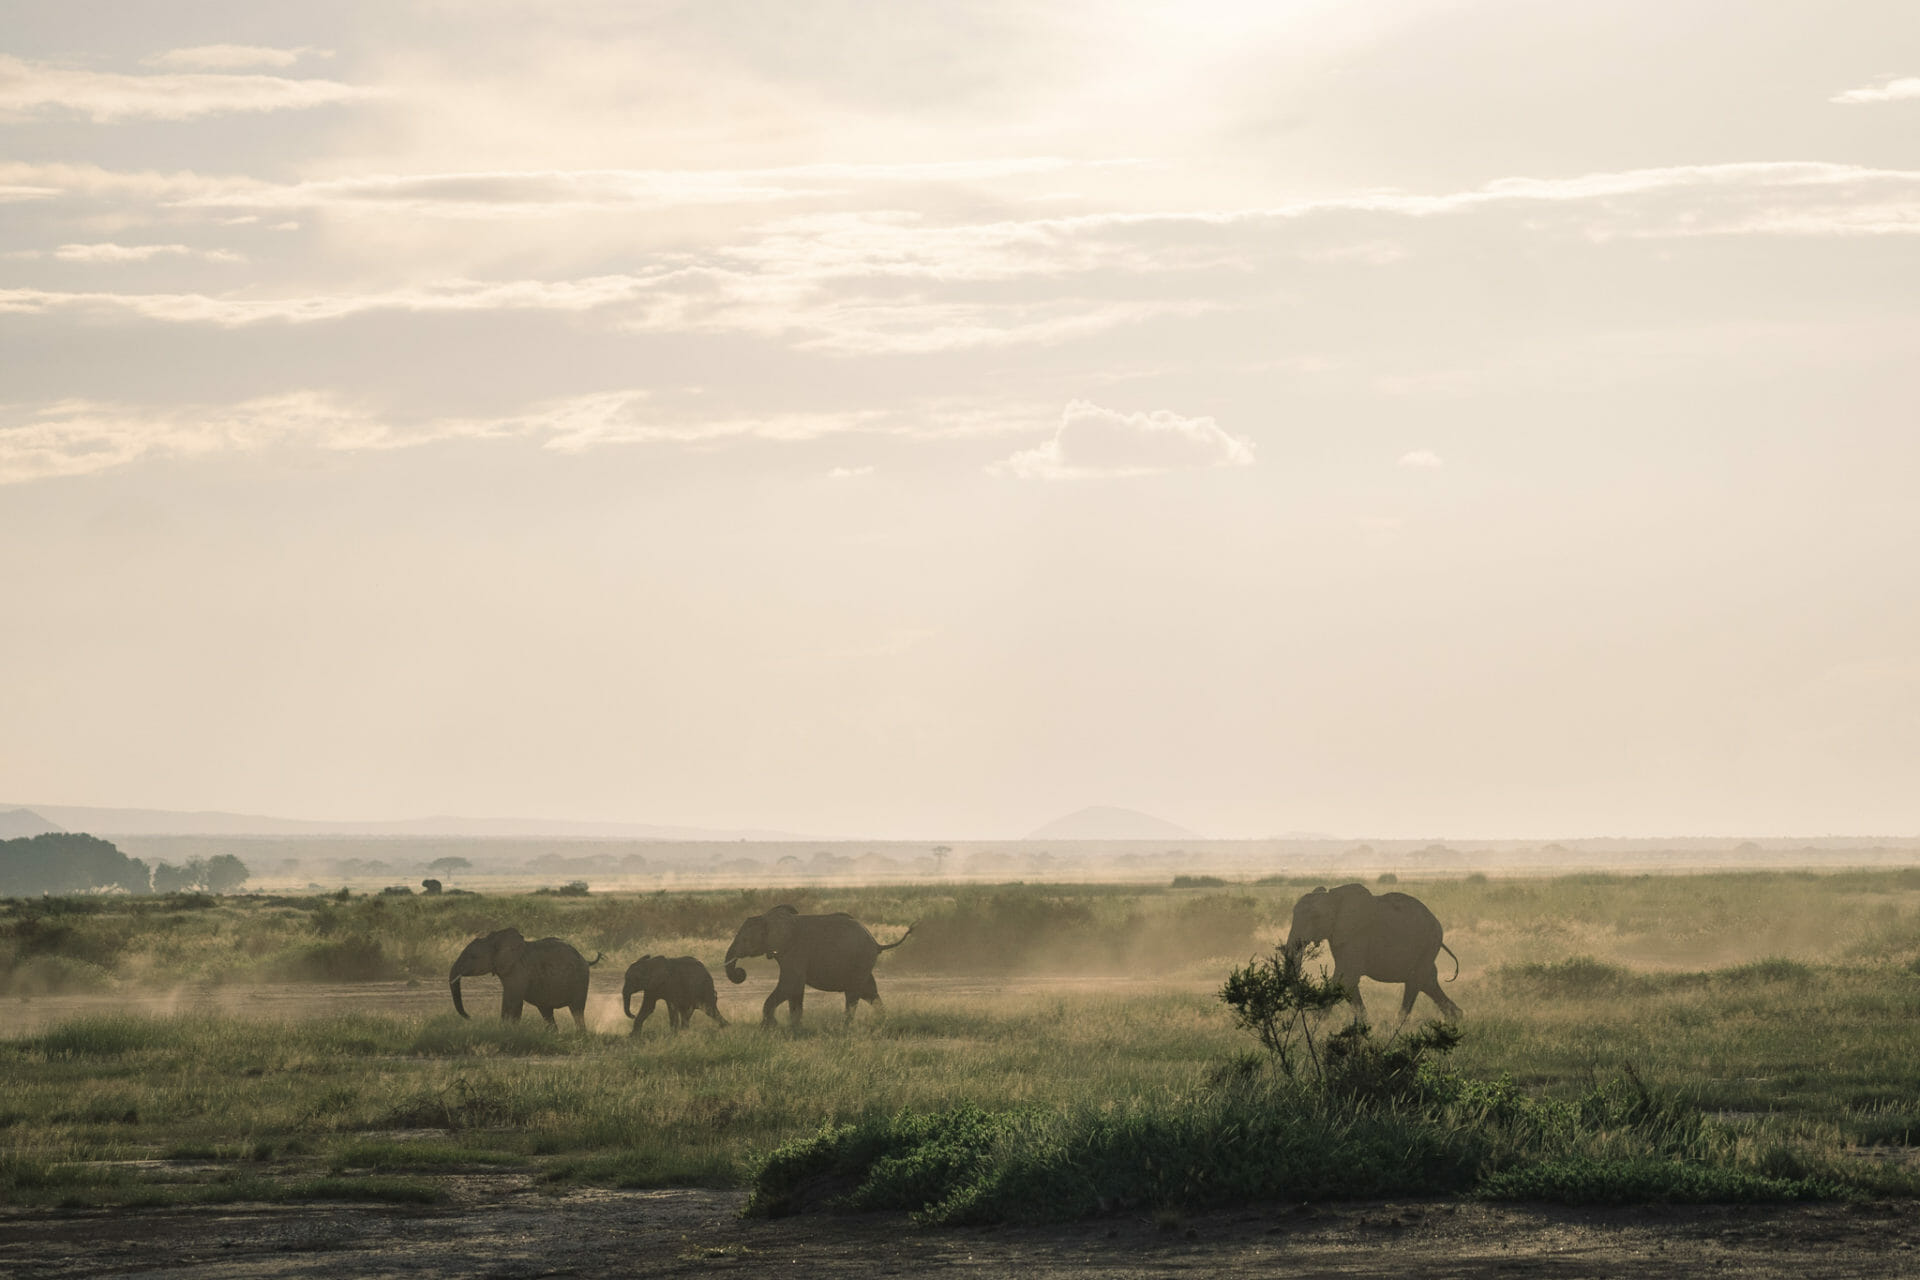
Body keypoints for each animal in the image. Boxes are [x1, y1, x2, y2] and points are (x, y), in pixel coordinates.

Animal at [448, 927, 602, 1029]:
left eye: (473, 957)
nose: (470, 1017)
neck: (496, 939)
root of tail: (585, 959)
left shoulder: (518, 970)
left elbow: (513, 999)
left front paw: (508, 1030)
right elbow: (509, 999)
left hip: (580, 980)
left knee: (577, 1010)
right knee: (547, 1012)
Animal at [722, 904, 914, 1026]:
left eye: (745, 940)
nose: (740, 972)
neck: (768, 918)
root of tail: (876, 943)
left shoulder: (795, 951)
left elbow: (790, 984)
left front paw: (770, 1025)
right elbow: (795, 990)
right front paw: (794, 1027)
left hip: (860, 960)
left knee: (854, 994)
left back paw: (845, 1026)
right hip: (864, 963)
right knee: (870, 992)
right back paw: (882, 1021)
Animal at [1283, 883, 1461, 1024]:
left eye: (1316, 916)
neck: (1333, 898)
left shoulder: (1356, 935)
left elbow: (1346, 977)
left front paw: (1316, 1023)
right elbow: (1349, 981)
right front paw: (1364, 1024)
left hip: (1429, 942)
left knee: (1415, 981)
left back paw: (1398, 1026)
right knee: (1428, 982)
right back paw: (1457, 1019)